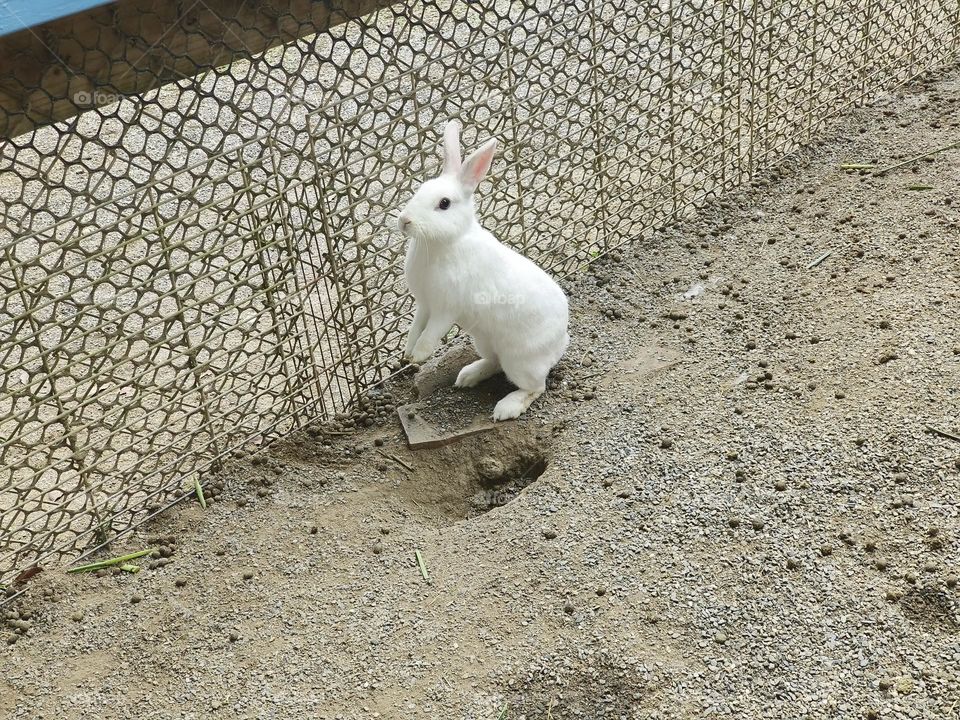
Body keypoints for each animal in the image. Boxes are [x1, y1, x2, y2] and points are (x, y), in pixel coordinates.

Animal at [397, 120, 570, 421]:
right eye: (420, 189)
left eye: (444, 203)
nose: (405, 221)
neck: (445, 243)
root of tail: (560, 342)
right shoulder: (424, 305)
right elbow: (415, 328)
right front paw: (408, 353)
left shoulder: (445, 310)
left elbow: (430, 335)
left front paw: (418, 356)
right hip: (484, 341)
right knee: (493, 362)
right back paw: (468, 376)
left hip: (520, 361)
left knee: (535, 387)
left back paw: (506, 408)